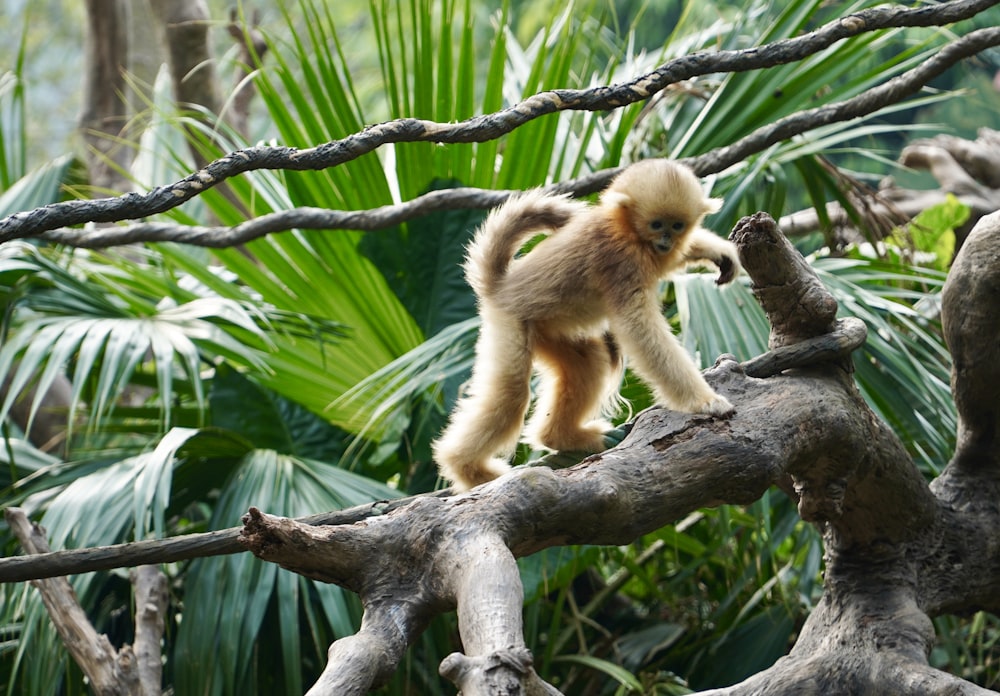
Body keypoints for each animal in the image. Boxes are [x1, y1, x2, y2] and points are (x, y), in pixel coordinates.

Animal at [434, 160, 740, 492]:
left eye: (677, 226)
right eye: (657, 225)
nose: (666, 241)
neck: (626, 230)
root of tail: (500, 286)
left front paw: (719, 252)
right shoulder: (622, 261)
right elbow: (638, 330)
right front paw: (703, 402)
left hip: (549, 332)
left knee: (588, 364)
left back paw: (562, 437)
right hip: (510, 324)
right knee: (511, 393)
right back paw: (468, 470)